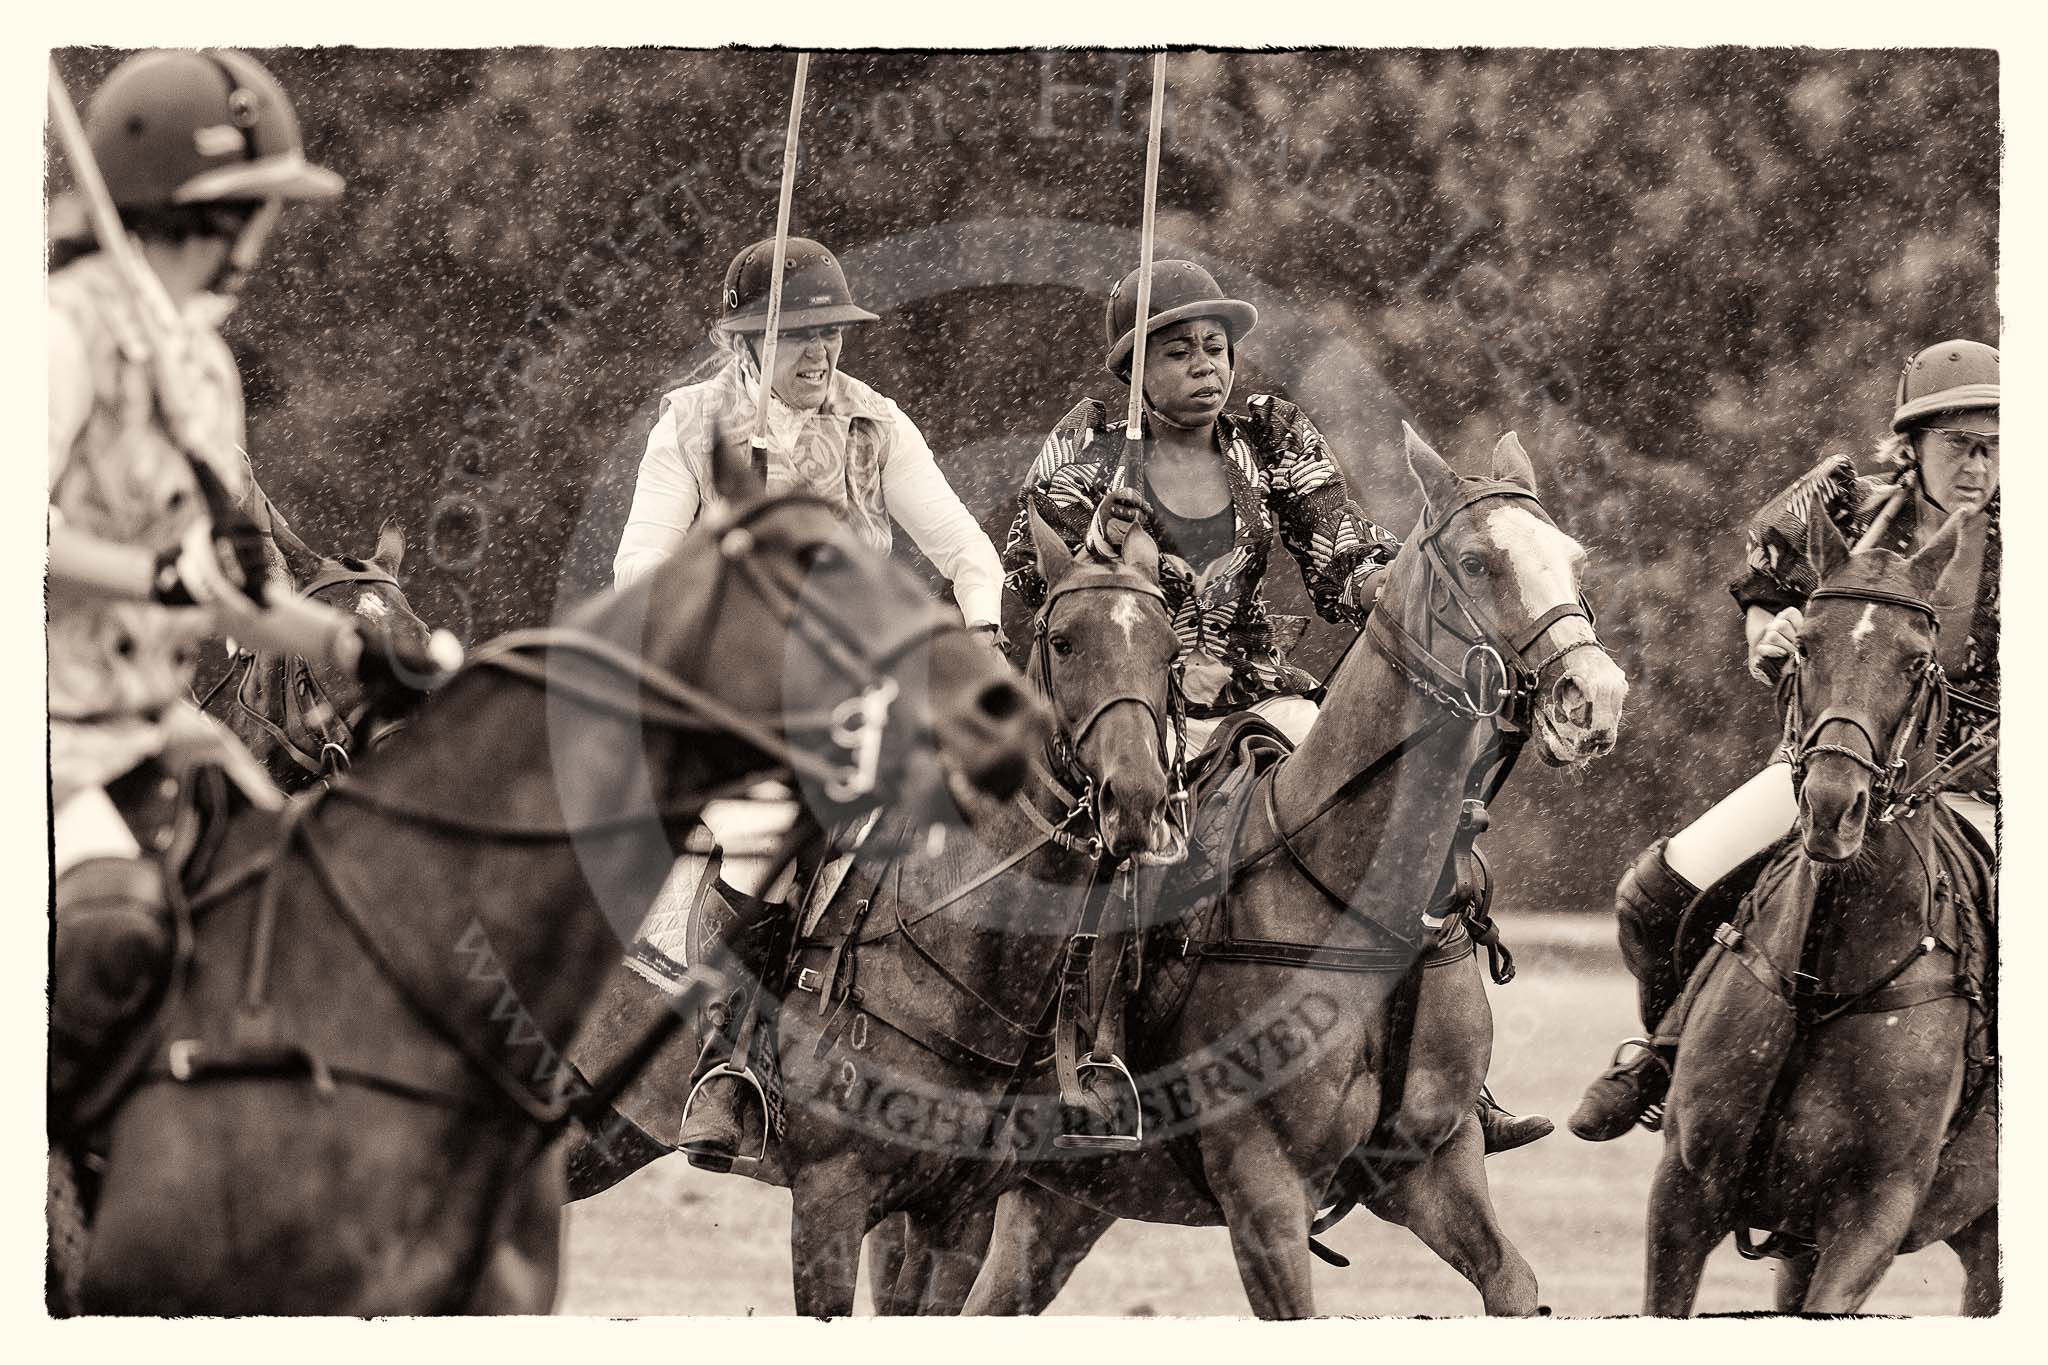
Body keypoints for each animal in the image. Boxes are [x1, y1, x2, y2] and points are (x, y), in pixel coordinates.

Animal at [921, 423, 1622, 1309]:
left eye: (1573, 558)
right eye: (1475, 562)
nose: (1594, 697)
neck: (1367, 906)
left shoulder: (1434, 1164)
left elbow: (1513, 1281)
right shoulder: (1265, 1193)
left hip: (1060, 1204)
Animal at [1638, 507, 1990, 1317]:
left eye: (1917, 662)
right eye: (1805, 644)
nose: (1832, 806)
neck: (1818, 983)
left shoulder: (1871, 1218)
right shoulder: (1684, 1192)